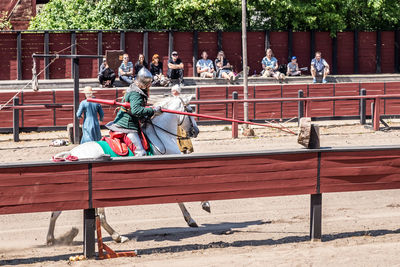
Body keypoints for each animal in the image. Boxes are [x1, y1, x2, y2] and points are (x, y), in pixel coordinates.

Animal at [46, 95, 209, 246]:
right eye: (190, 110)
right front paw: (201, 209)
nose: (196, 131)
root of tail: (72, 153)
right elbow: (183, 194)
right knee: (101, 216)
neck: (161, 137)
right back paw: (118, 236)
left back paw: (51, 239)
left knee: (56, 211)